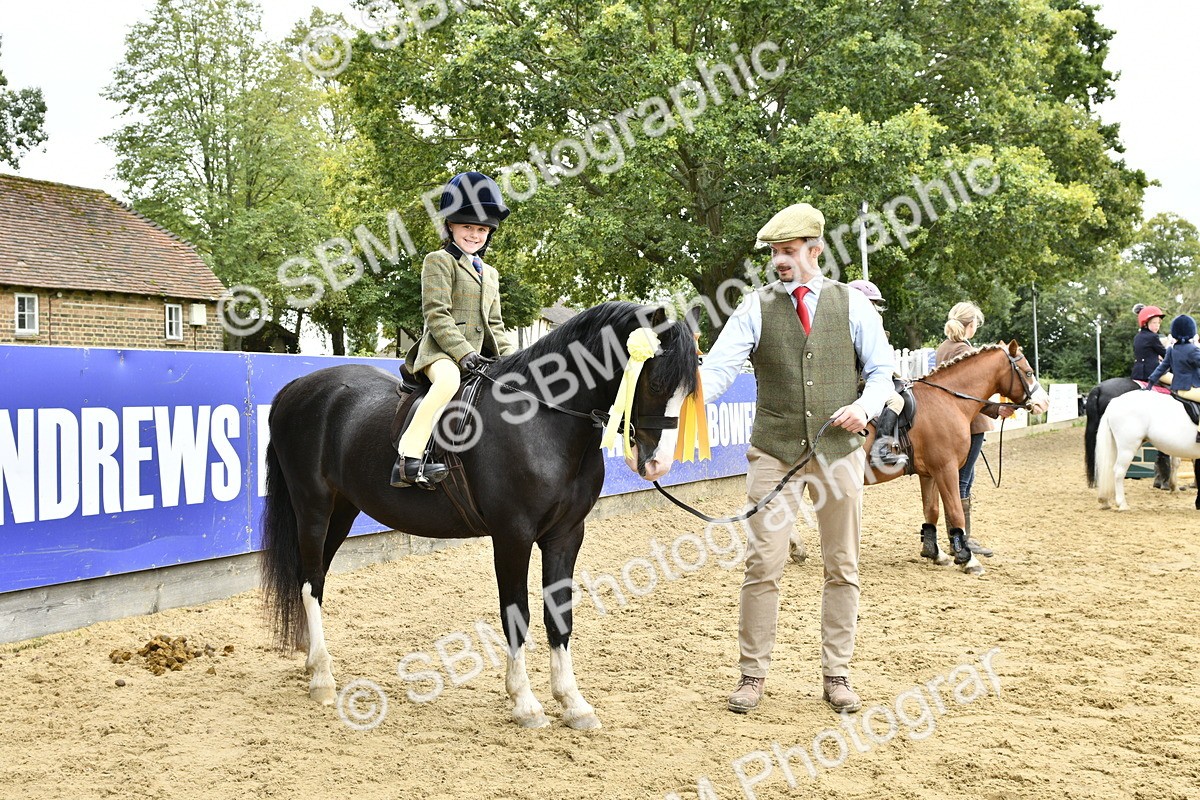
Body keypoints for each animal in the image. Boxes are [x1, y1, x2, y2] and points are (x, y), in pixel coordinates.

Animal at [259, 302, 699, 730]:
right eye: (655, 383)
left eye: (688, 389)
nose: (658, 465)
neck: (543, 420)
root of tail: (295, 388)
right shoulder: (513, 536)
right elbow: (517, 615)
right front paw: (525, 704)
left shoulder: (566, 535)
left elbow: (559, 616)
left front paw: (573, 704)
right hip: (313, 506)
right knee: (310, 582)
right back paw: (322, 678)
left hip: (343, 510)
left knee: (313, 579)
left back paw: (312, 662)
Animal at [861, 341, 1049, 575]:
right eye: (1029, 372)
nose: (1044, 402)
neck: (947, 400)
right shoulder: (946, 469)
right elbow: (955, 510)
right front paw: (967, 558)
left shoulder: (929, 473)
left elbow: (931, 510)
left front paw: (934, 553)